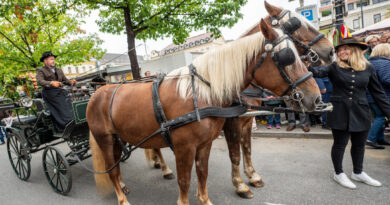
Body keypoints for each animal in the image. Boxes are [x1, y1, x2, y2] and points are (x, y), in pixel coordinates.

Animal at [87, 18, 320, 205]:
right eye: (287, 57)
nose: (316, 98)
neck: (200, 94)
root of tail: (97, 93)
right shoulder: (187, 146)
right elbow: (186, 179)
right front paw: (241, 185)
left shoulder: (206, 143)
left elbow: (203, 172)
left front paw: (208, 198)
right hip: (104, 139)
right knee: (112, 169)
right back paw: (123, 198)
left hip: (117, 138)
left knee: (117, 165)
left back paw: (127, 184)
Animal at [143, 1, 336, 200]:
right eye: (296, 25)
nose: (330, 51)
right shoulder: (233, 123)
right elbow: (235, 154)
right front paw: (240, 185)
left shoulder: (247, 120)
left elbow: (247, 149)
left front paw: (253, 176)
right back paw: (165, 168)